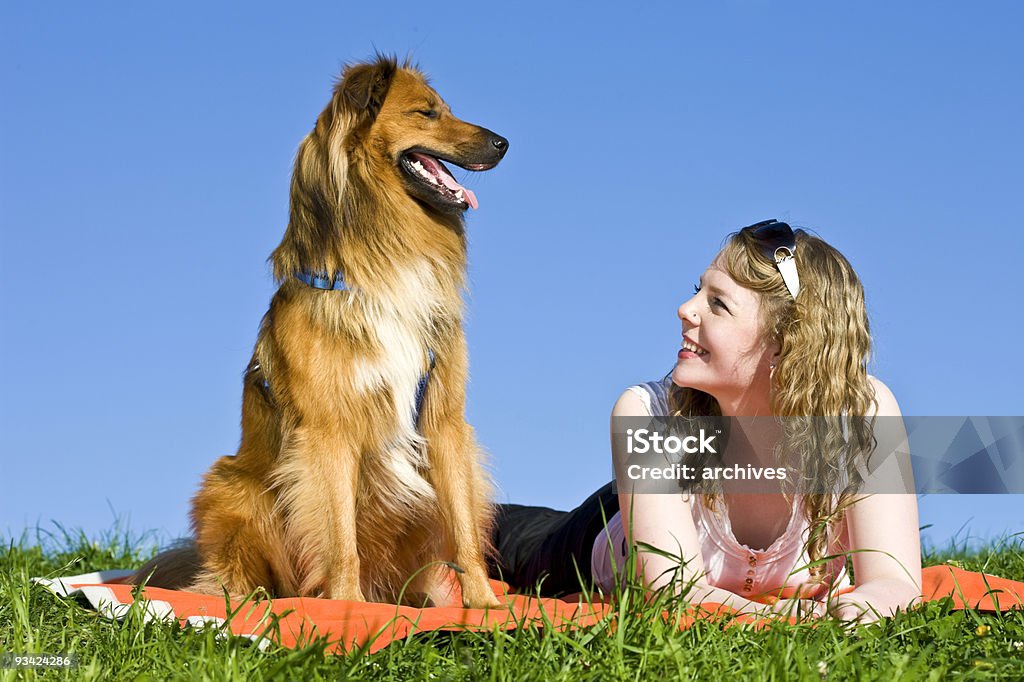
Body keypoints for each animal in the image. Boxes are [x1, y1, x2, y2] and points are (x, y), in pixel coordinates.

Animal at [136, 54, 503, 606]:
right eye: (427, 112)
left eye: (443, 108)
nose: (504, 143)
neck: (383, 260)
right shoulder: (329, 431)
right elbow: (339, 534)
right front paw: (348, 607)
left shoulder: (444, 419)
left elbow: (463, 526)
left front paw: (484, 605)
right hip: (228, 485)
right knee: (235, 576)